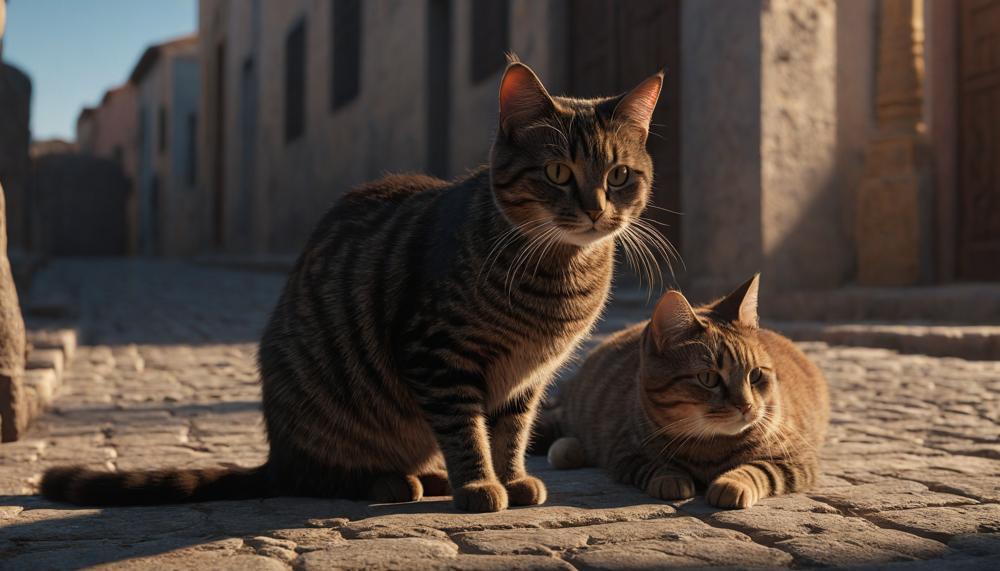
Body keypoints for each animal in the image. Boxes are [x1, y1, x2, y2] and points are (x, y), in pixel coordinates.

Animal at [41, 62, 664, 512]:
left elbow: (510, 432)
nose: (597, 210)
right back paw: (394, 482)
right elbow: (466, 430)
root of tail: (276, 453)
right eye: (558, 172)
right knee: (318, 478)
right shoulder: (437, 353)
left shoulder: (527, 378)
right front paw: (479, 486)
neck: (558, 271)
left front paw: (510, 478)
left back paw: (429, 476)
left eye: (619, 176)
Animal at [540, 276, 828, 510]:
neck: (709, 446)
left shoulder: (797, 458)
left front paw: (732, 483)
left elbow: (758, 469)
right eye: (709, 378)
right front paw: (671, 478)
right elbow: (653, 465)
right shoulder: (623, 451)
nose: (746, 406)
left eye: (755, 374)